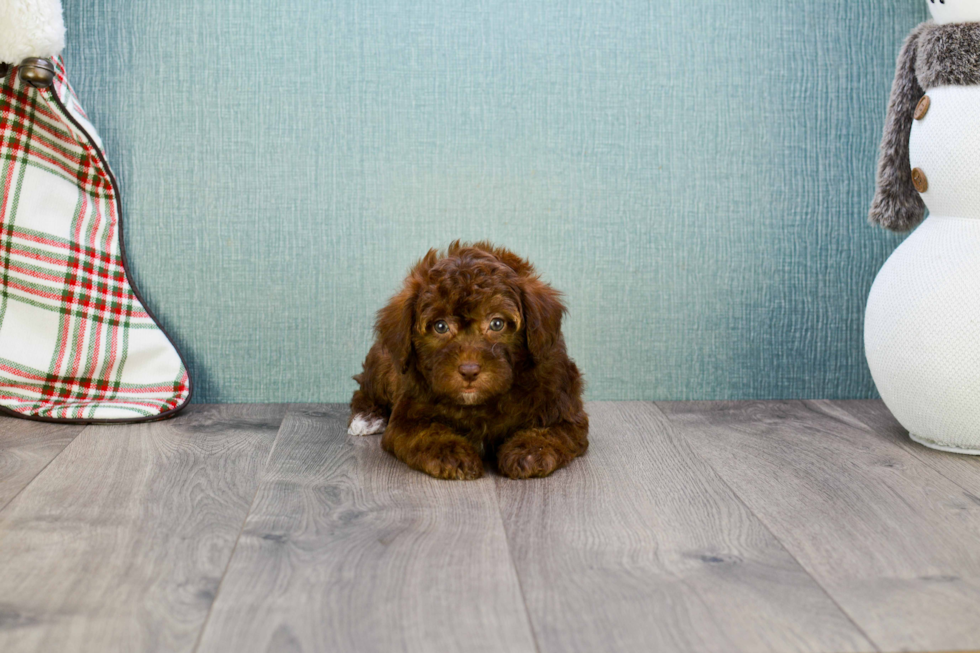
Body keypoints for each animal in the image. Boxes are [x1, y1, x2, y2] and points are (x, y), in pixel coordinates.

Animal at [348, 239, 584, 478]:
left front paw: (527, 453)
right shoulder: (408, 415)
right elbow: (427, 433)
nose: (469, 371)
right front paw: (452, 454)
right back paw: (366, 419)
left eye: (497, 323)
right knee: (364, 390)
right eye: (440, 326)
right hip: (384, 362)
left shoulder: (560, 406)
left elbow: (550, 432)